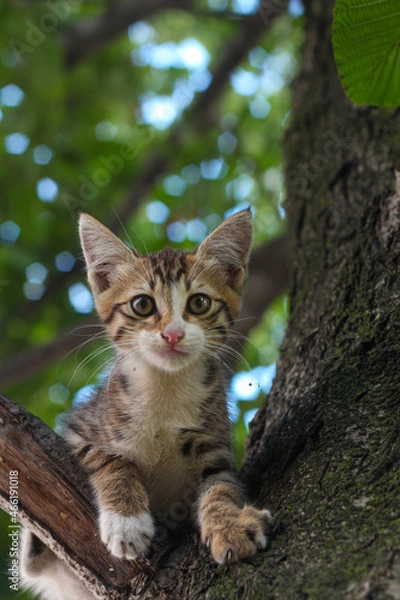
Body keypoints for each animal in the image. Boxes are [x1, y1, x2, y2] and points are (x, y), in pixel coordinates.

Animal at [21, 209, 272, 596]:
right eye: (143, 305)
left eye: (199, 302)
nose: (172, 334)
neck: (164, 389)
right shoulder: (80, 426)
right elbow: (110, 460)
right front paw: (126, 522)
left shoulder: (216, 446)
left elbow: (221, 486)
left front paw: (228, 524)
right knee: (32, 561)